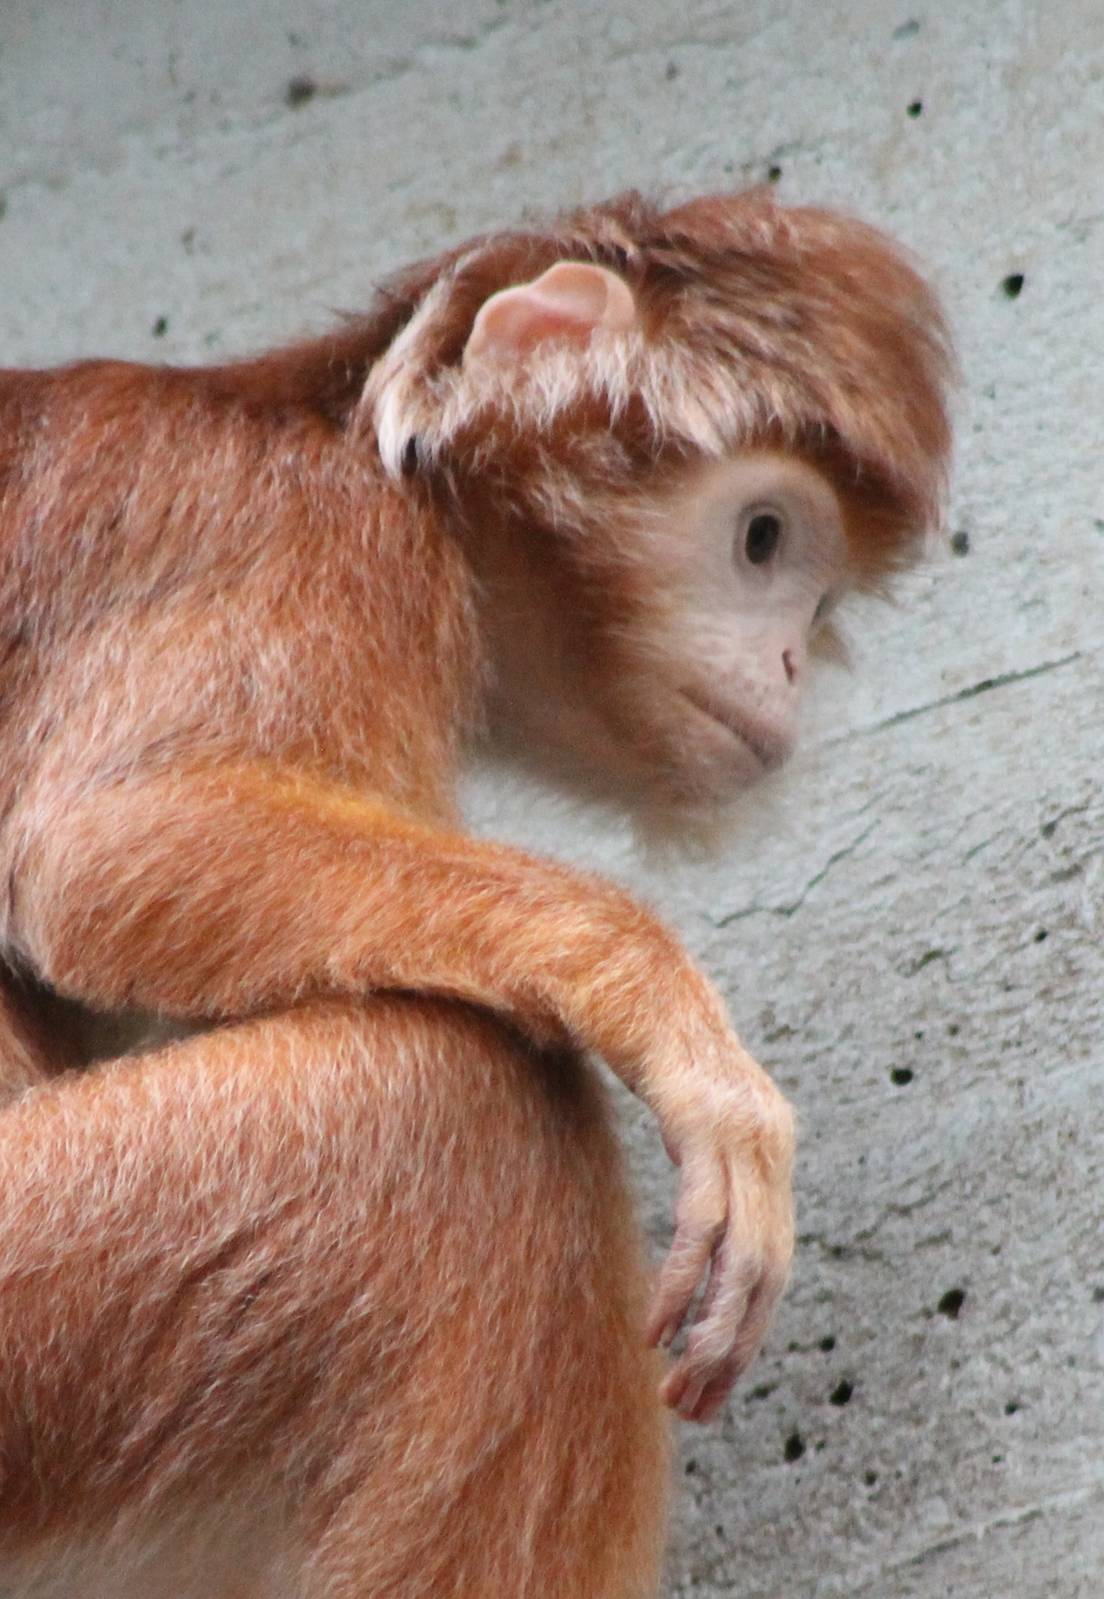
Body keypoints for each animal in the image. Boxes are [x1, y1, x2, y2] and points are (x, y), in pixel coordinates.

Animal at [0, 189, 951, 1597]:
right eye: (764, 538)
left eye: (813, 593)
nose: (789, 662)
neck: (341, 434)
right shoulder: (307, 542)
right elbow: (121, 844)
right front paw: (669, 1025)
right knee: (462, 1112)